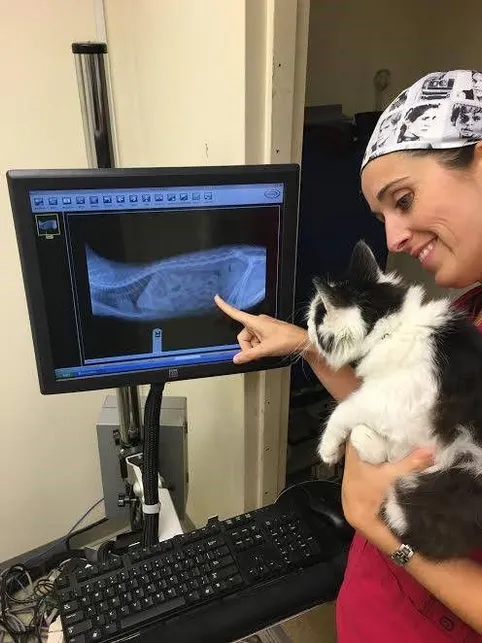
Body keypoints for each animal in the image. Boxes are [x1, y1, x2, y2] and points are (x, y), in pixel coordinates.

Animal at [306, 239, 482, 560]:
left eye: (315, 317)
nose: (306, 330)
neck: (391, 329)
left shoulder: (393, 402)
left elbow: (344, 409)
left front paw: (330, 449)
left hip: (444, 485)